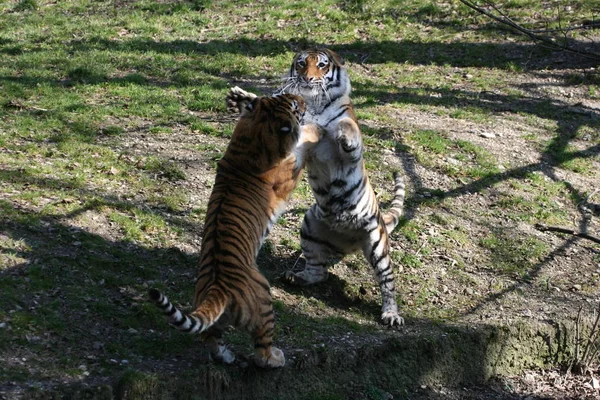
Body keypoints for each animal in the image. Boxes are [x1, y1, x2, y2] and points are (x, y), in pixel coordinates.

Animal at [148, 94, 322, 368]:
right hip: (265, 301)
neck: (255, 134)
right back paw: (276, 358)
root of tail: (219, 288)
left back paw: (226, 356)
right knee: (261, 351)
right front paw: (318, 129)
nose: (303, 100)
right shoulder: (289, 172)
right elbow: (304, 141)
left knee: (210, 338)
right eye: (295, 106)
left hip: (213, 317)